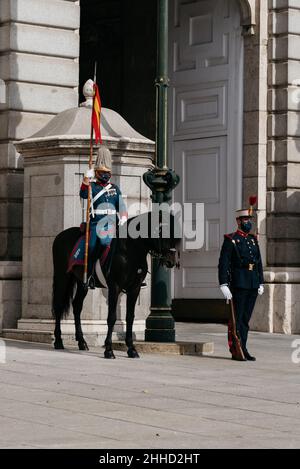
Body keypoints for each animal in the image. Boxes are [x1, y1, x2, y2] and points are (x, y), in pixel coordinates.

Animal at [51, 210, 180, 356]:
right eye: (161, 230)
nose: (171, 261)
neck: (131, 251)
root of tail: (60, 235)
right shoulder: (115, 287)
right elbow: (111, 317)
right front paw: (108, 349)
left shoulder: (134, 289)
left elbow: (129, 317)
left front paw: (131, 349)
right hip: (62, 277)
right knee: (59, 306)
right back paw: (58, 341)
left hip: (81, 282)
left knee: (77, 306)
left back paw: (82, 342)